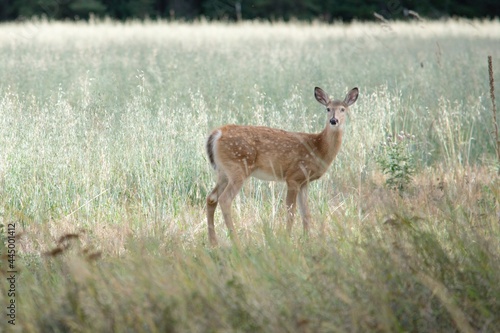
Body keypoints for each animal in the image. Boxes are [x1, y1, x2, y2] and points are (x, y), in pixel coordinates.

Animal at [205, 87, 358, 245]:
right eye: (328, 108)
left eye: (343, 109)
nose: (334, 120)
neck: (318, 148)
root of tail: (217, 133)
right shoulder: (293, 176)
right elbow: (291, 211)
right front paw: (287, 238)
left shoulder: (304, 181)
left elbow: (306, 212)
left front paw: (307, 240)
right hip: (238, 168)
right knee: (224, 199)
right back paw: (236, 241)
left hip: (223, 172)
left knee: (211, 198)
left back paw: (213, 242)